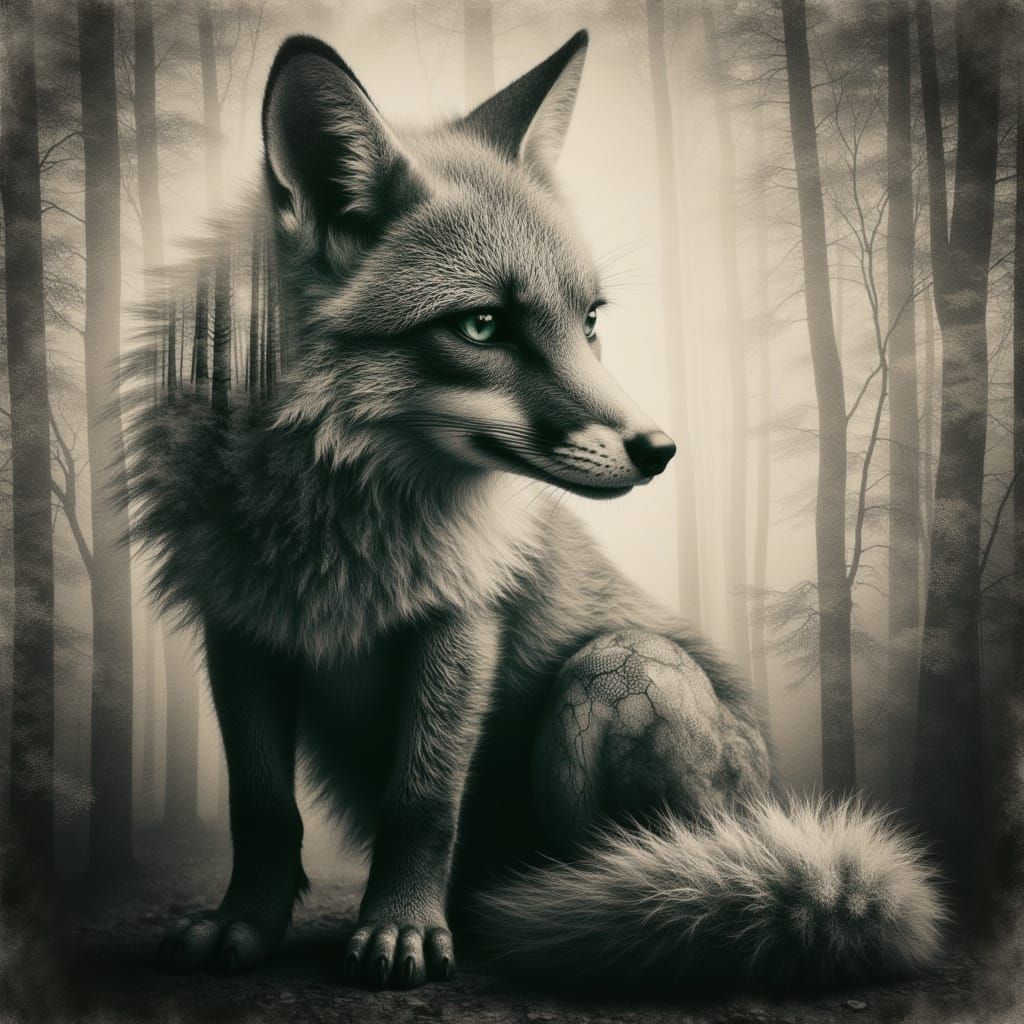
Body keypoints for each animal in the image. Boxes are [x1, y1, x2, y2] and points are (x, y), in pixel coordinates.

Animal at [128, 30, 945, 991]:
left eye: (588, 320)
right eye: (482, 326)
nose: (660, 450)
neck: (332, 534)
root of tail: (774, 807)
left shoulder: (460, 620)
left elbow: (420, 802)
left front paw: (401, 928)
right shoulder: (240, 628)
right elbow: (260, 809)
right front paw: (245, 925)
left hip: (614, 669)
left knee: (625, 876)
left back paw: (570, 915)